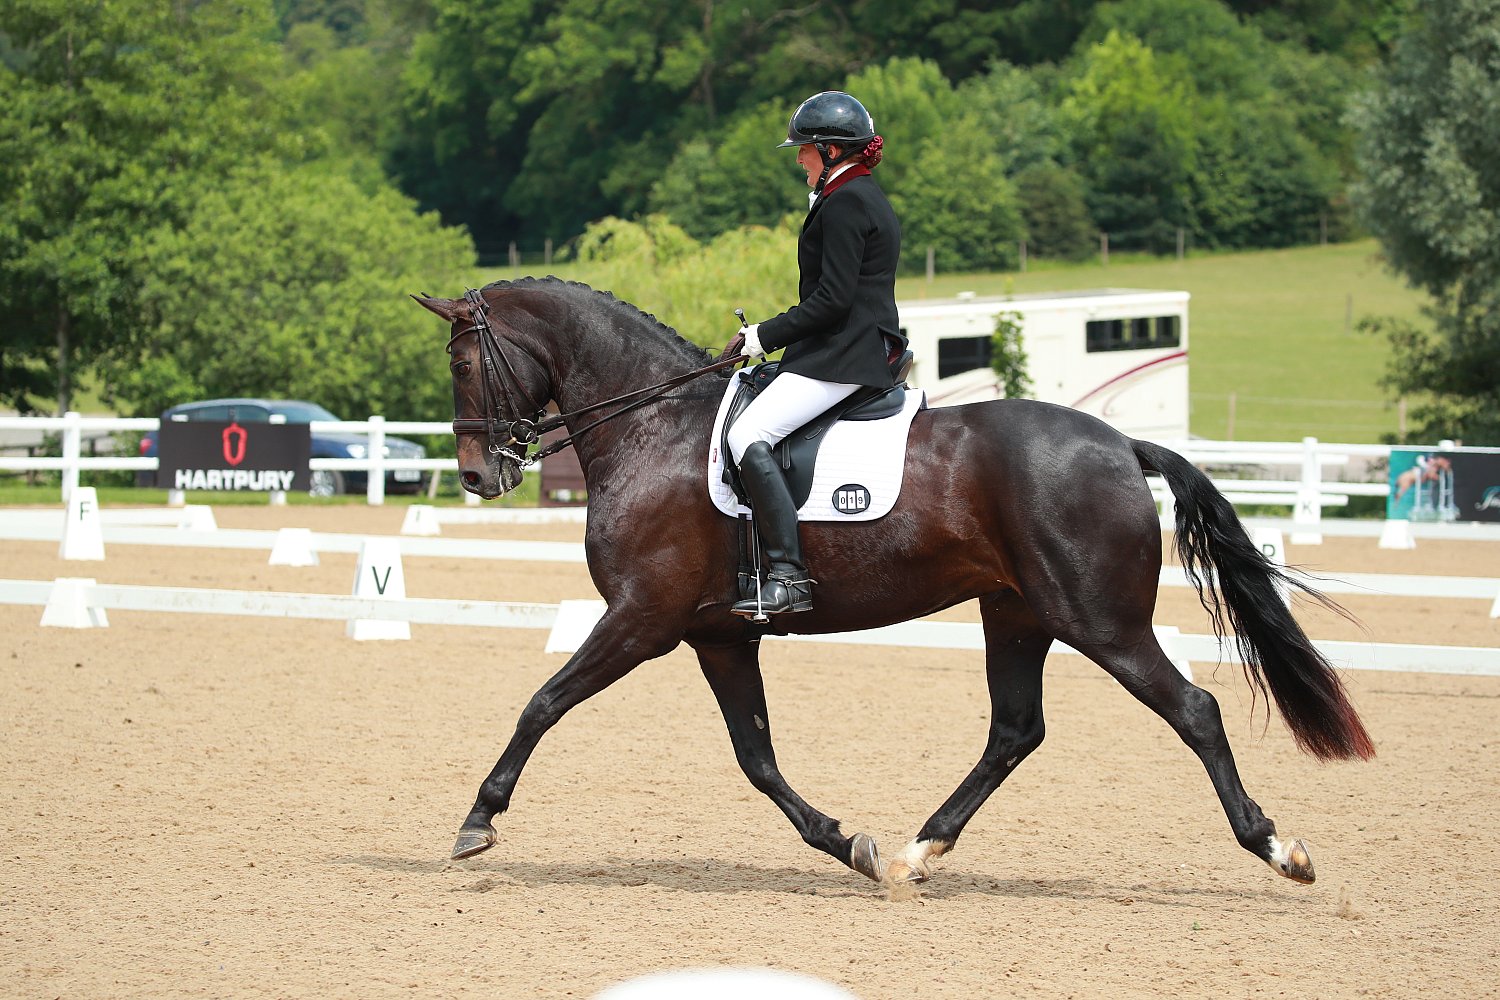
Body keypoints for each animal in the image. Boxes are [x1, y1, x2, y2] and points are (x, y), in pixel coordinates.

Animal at [411, 277, 1374, 887]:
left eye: (460, 364)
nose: (478, 477)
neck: (654, 426)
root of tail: (1119, 444)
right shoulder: (717, 633)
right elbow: (757, 757)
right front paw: (850, 845)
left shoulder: (641, 618)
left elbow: (542, 702)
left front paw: (478, 822)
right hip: (1017, 613)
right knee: (1015, 730)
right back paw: (917, 851)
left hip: (1101, 620)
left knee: (1193, 711)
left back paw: (1277, 849)